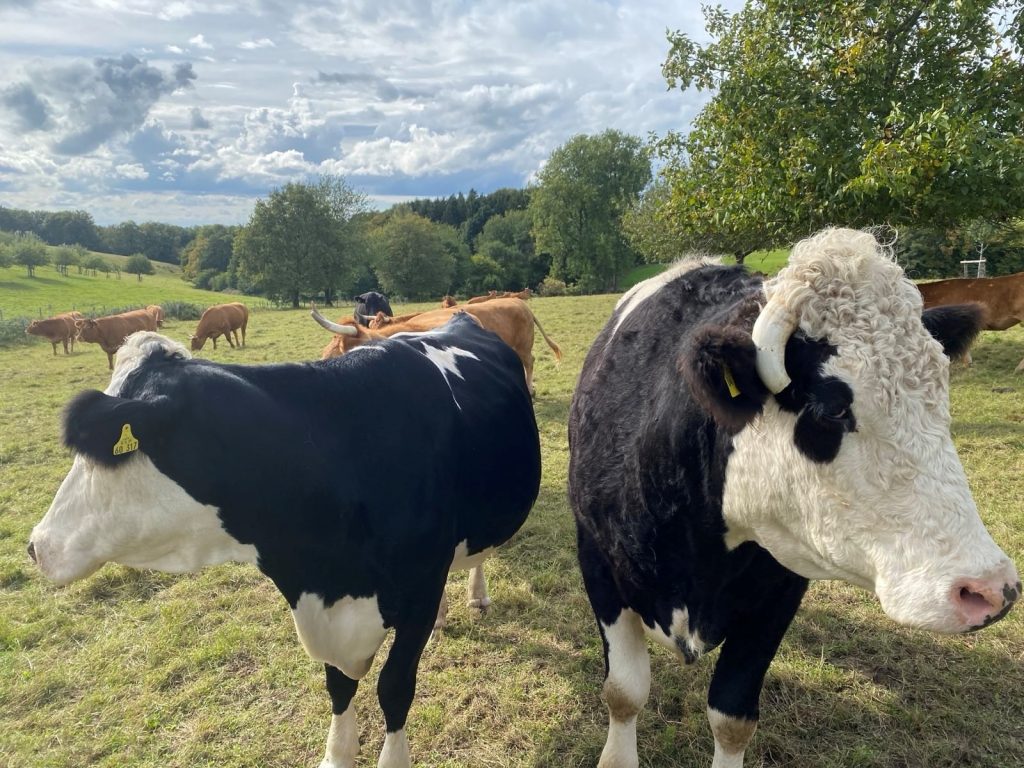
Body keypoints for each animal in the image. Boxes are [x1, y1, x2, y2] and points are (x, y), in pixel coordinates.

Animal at [28, 317, 541, 768]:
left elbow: (394, 687)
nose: (35, 545)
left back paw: (476, 596)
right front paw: (337, 754)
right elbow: (338, 686)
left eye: (102, 451)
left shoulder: (417, 591)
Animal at [567, 228, 1020, 768]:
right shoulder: (597, 563)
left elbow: (732, 717)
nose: (991, 589)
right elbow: (624, 691)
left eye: (938, 397)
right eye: (831, 409)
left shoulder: (780, 591)